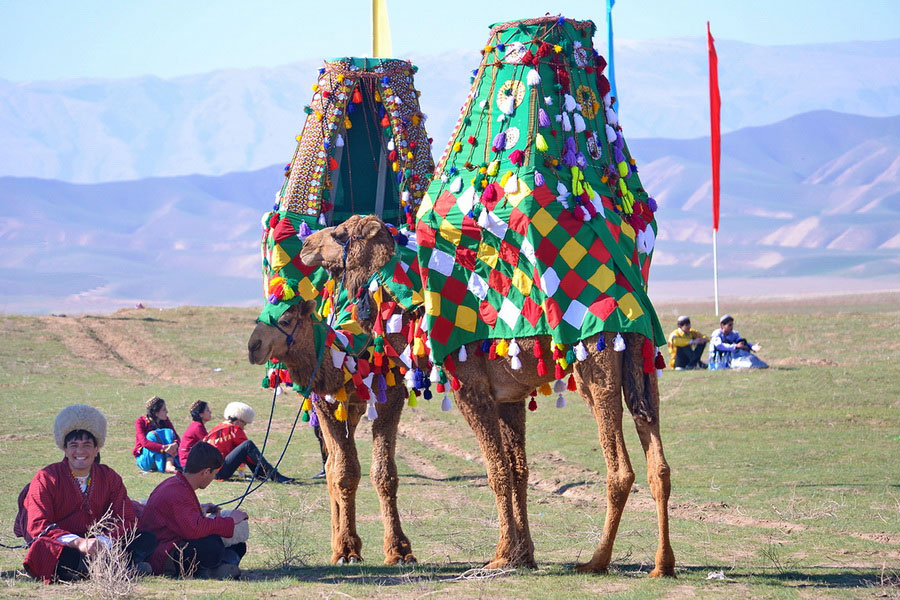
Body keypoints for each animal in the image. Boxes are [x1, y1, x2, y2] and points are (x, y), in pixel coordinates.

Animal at [284, 214, 676, 576]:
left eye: (340, 234)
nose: (306, 246)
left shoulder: (471, 389)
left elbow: (497, 470)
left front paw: (501, 556)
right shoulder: (509, 396)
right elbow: (518, 470)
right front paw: (523, 556)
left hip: (597, 362)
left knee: (620, 469)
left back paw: (596, 560)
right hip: (643, 369)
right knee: (658, 463)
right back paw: (662, 564)